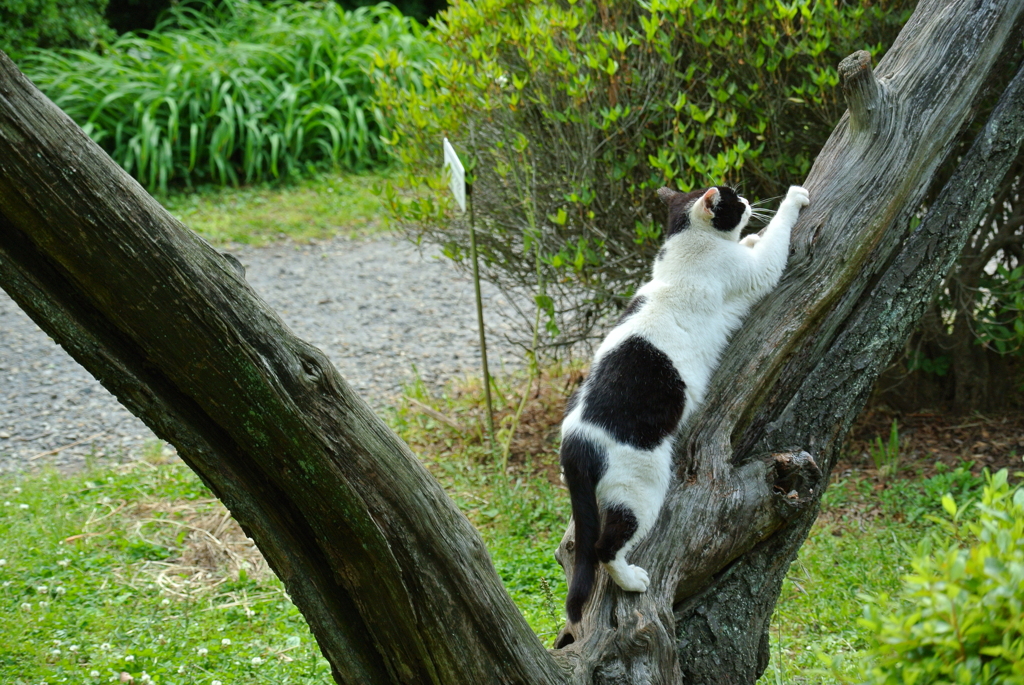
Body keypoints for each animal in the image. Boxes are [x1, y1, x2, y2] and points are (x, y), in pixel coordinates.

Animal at [561, 184, 806, 622]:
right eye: (735, 199)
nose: (748, 199)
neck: (681, 257)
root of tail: (576, 442)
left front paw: (752, 237)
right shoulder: (753, 272)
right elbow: (775, 239)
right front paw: (793, 198)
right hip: (640, 489)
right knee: (605, 547)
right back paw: (632, 580)